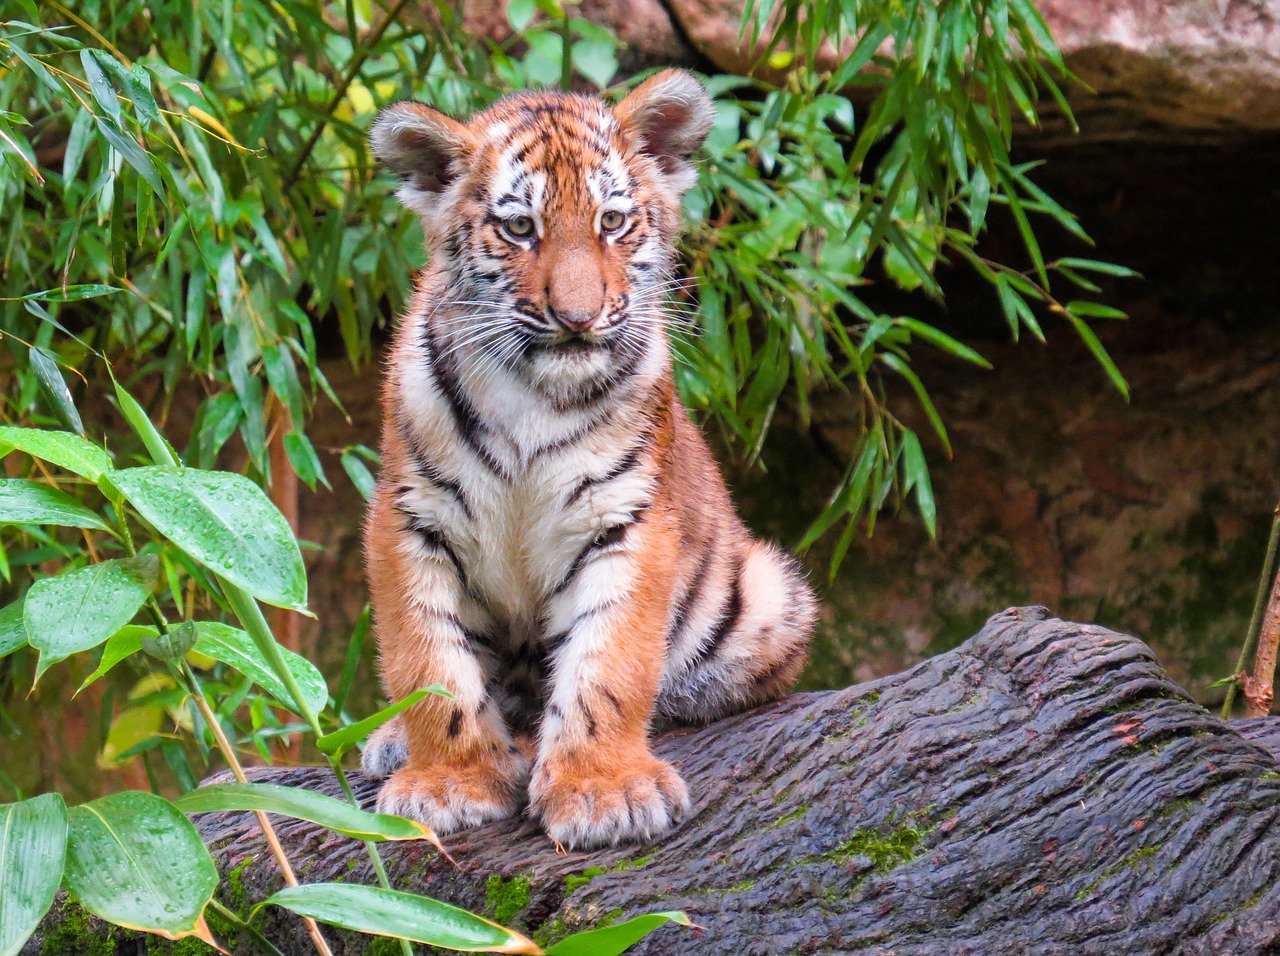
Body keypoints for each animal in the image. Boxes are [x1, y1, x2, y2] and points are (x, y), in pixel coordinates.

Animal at [360, 69, 817, 849]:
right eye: (519, 228)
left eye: (611, 222)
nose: (577, 317)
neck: (531, 394)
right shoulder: (409, 520)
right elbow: (430, 662)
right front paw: (451, 782)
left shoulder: (628, 520)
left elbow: (609, 663)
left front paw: (604, 791)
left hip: (769, 594)